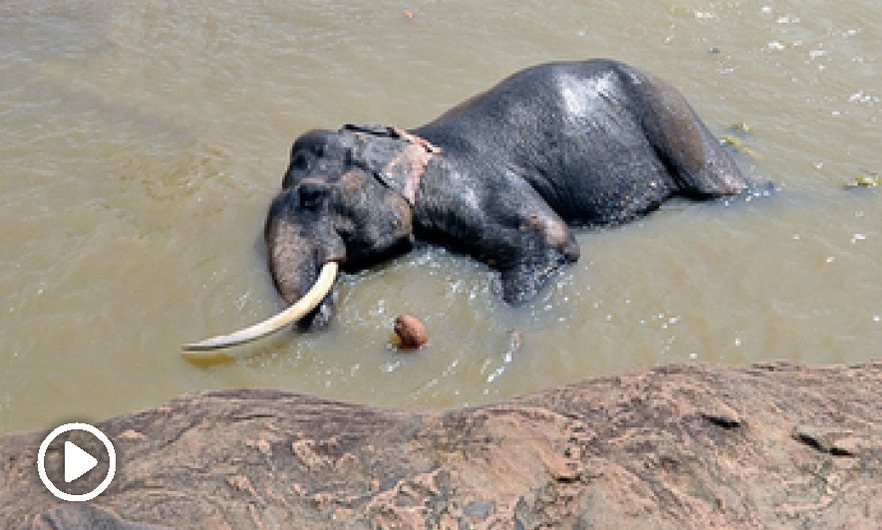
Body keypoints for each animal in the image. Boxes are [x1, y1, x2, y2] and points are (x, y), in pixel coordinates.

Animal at [184, 58, 748, 350]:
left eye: (311, 195)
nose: (319, 319)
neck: (402, 141)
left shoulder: (474, 184)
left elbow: (554, 239)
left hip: (675, 122)